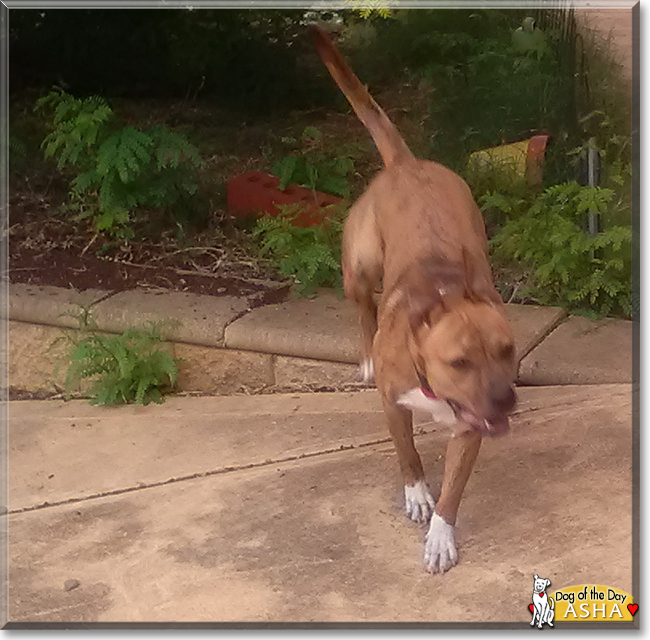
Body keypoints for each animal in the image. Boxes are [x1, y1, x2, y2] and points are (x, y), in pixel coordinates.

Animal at [308, 26, 516, 576]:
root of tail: (406, 163)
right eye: (459, 361)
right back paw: (364, 355)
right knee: (363, 305)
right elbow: (408, 455)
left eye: (507, 351)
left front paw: (441, 533)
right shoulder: (394, 404)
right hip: (360, 265)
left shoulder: (471, 427)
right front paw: (418, 494)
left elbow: (455, 488)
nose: (505, 399)